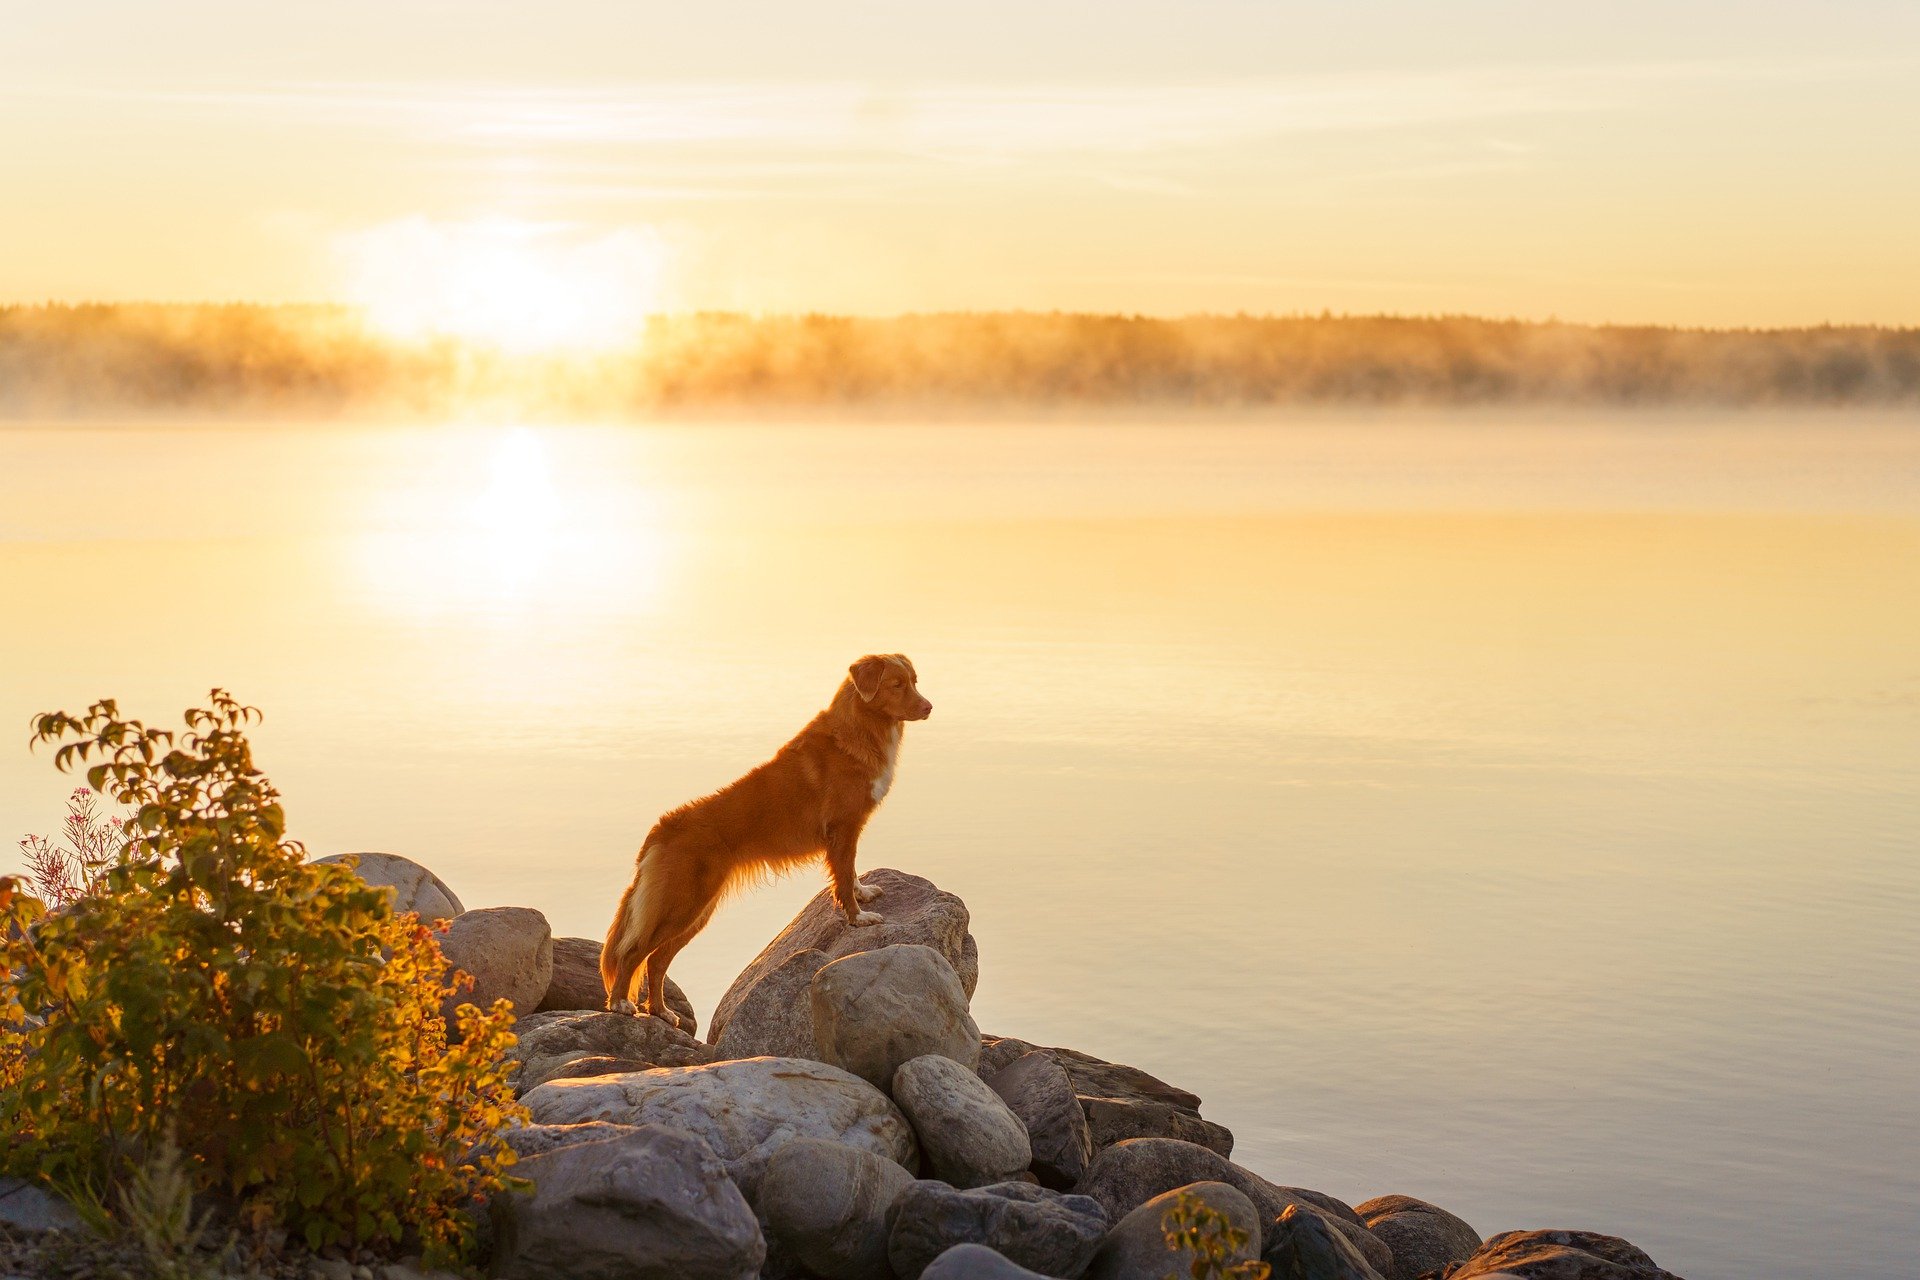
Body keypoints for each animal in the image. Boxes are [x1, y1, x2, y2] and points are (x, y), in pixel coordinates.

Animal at [599, 656, 929, 1028]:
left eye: (914, 682)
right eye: (896, 684)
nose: (929, 707)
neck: (860, 727)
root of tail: (662, 829)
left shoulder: (848, 832)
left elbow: (850, 872)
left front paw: (863, 892)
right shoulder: (843, 828)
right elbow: (843, 876)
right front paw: (858, 917)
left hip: (696, 912)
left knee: (656, 961)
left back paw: (660, 1011)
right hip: (680, 904)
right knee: (632, 953)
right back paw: (620, 1003)